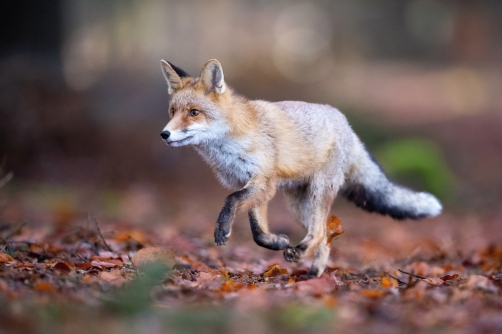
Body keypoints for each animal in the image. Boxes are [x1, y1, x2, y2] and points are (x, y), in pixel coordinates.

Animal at [159, 58, 442, 276]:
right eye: (172, 112)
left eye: (194, 112)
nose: (164, 134)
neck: (232, 140)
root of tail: (347, 125)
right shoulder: (252, 184)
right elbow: (257, 231)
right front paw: (276, 242)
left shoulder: (263, 181)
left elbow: (231, 201)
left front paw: (222, 230)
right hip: (297, 203)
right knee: (326, 235)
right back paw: (315, 273)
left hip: (318, 192)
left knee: (318, 231)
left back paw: (302, 255)